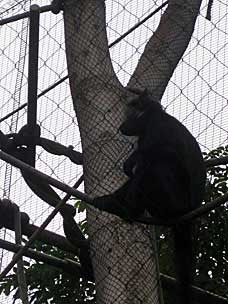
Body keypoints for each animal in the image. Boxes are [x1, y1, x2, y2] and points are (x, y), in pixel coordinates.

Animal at [89, 88, 207, 304]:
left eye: (130, 115)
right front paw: (111, 199)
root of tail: (189, 212)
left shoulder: (155, 127)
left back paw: (131, 208)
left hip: (175, 199)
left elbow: (156, 154)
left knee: (157, 163)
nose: (122, 126)